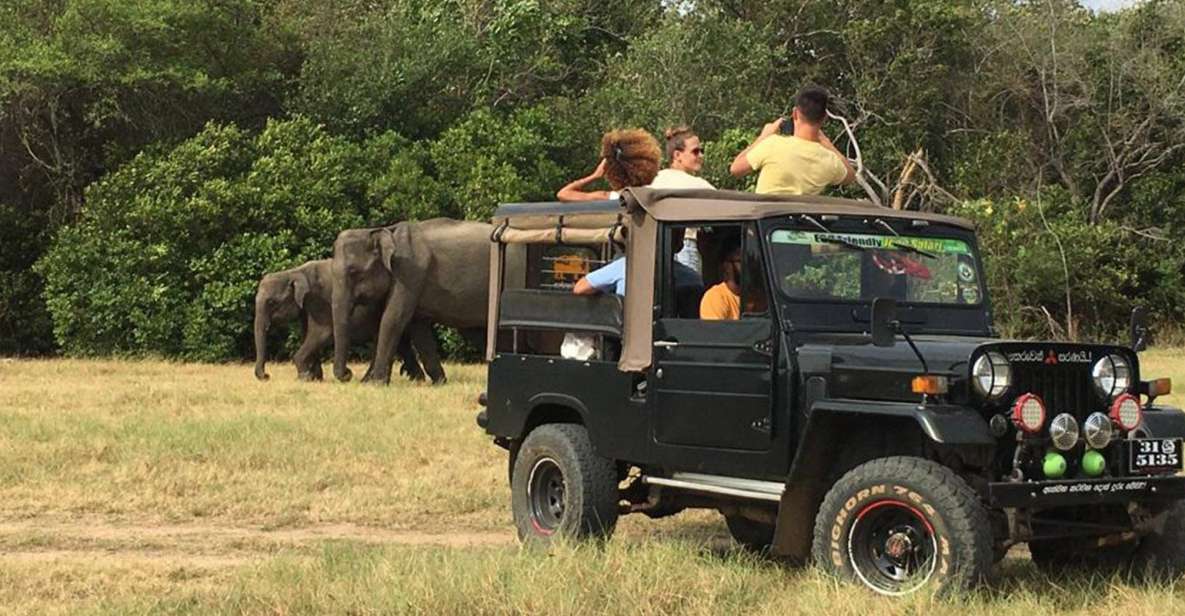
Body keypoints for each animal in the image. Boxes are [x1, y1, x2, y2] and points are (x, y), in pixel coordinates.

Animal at [252, 257, 438, 381]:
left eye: (271, 302)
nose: (267, 376)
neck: (294, 271)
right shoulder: (307, 305)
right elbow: (308, 334)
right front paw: (314, 378)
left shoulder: (319, 299)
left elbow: (322, 332)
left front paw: (304, 378)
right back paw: (416, 379)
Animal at [329, 217, 509, 383]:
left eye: (353, 272)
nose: (348, 374)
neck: (383, 231)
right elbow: (418, 327)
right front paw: (439, 382)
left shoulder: (409, 273)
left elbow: (392, 318)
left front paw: (376, 383)